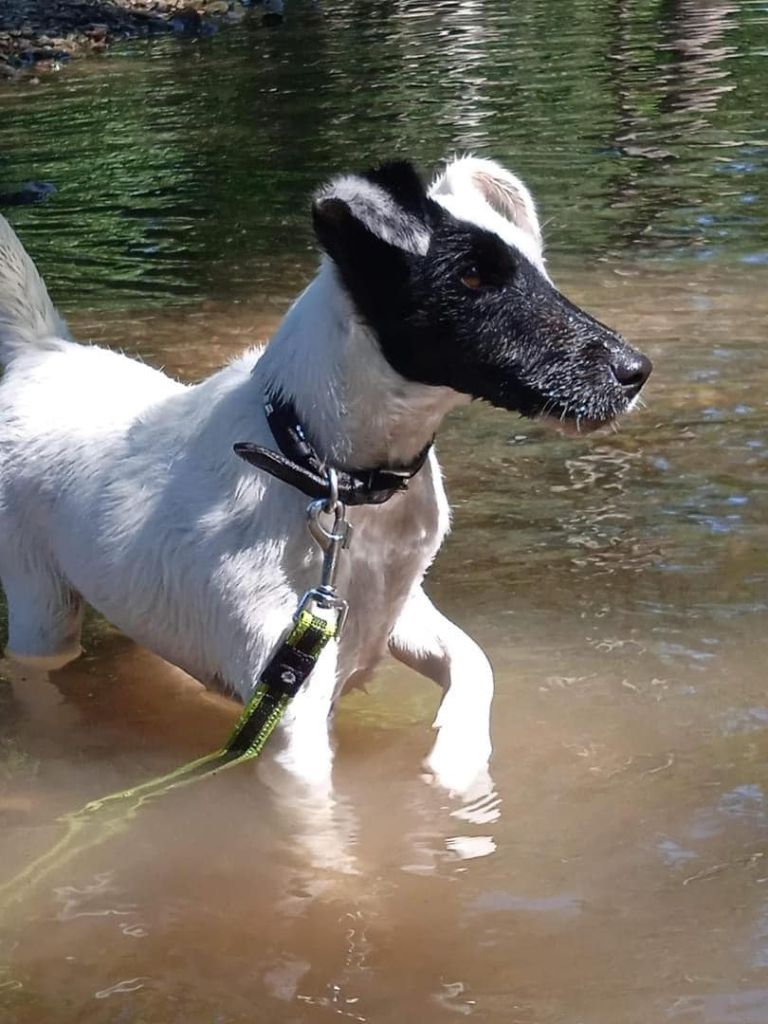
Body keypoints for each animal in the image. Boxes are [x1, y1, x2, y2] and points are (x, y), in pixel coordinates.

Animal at [0, 157, 651, 798]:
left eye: (538, 269)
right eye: (470, 278)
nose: (637, 370)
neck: (325, 470)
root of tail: (41, 352)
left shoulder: (398, 613)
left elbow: (474, 662)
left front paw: (458, 764)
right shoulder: (294, 726)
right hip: (40, 606)